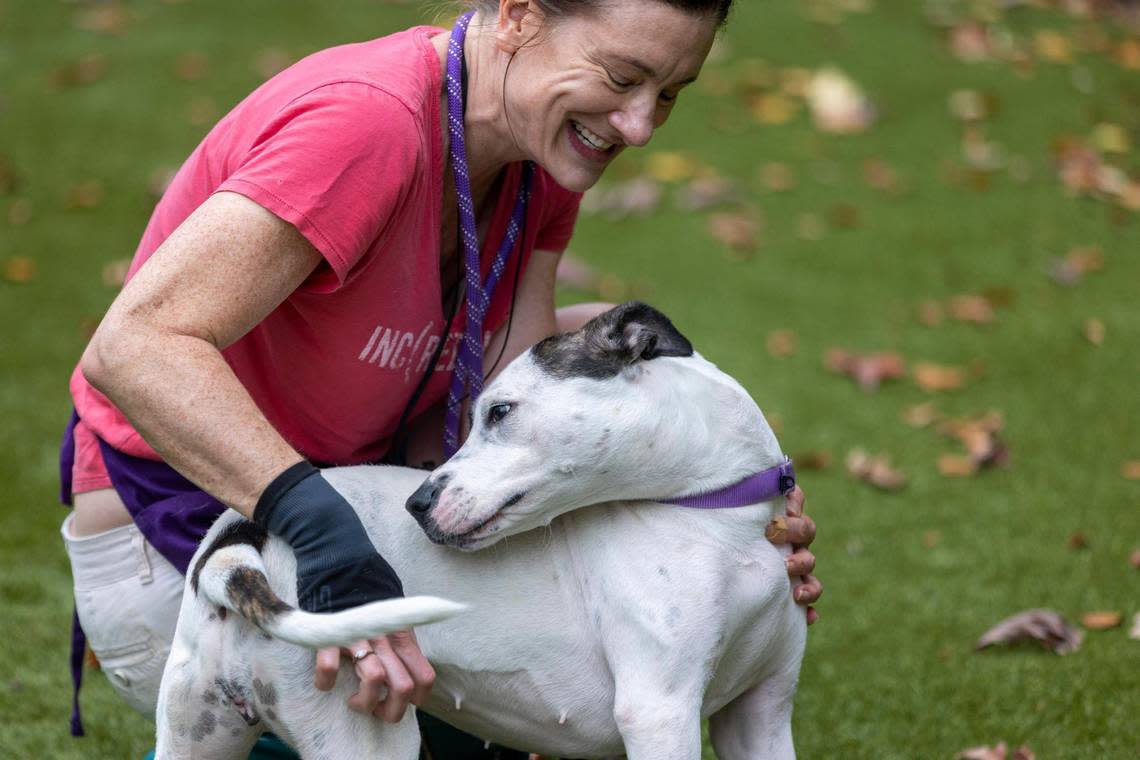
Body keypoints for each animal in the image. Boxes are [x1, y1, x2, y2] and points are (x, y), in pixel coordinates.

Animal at [156, 303, 807, 760]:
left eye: (500, 412)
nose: (417, 502)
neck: (728, 524)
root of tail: (242, 540)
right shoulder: (660, 713)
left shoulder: (762, 715)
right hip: (367, 732)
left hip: (194, 728)